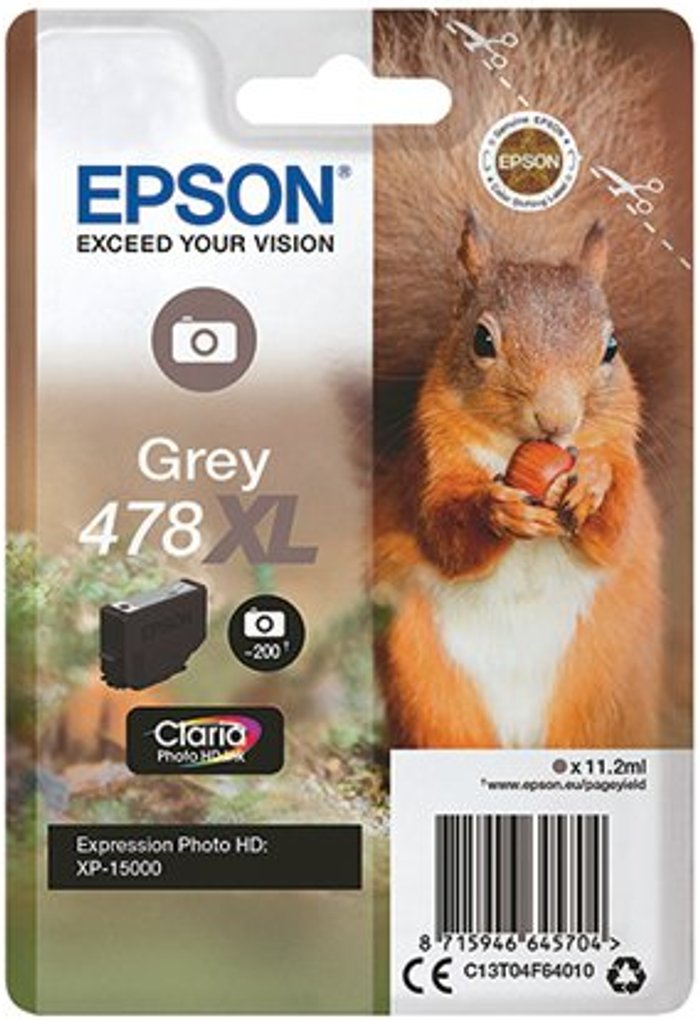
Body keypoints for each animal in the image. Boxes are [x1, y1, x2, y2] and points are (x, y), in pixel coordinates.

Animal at [372, 9, 691, 749]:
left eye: (611, 347)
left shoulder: (626, 461)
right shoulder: (431, 462)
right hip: (425, 677)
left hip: (605, 684)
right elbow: (444, 529)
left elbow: (617, 525)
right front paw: (499, 509)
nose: (557, 419)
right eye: (482, 340)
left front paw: (593, 483)